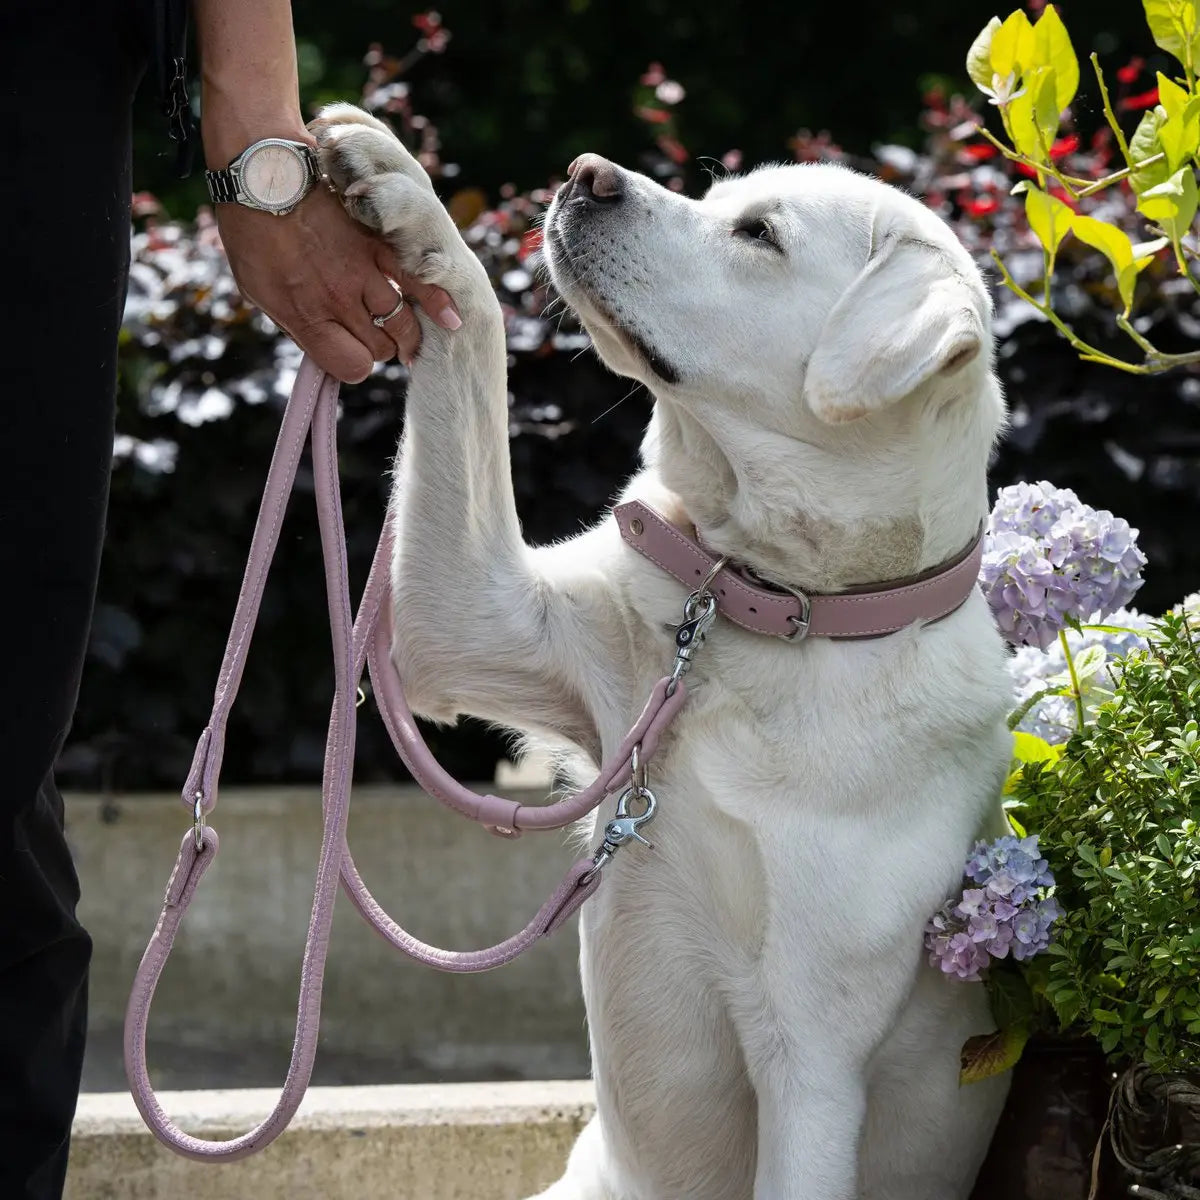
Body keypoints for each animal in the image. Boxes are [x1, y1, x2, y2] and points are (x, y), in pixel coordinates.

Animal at [309, 103, 1012, 1200]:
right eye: (718, 196)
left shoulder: (814, 1065)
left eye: (759, 234)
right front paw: (402, 195)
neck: (769, 609)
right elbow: (476, 340)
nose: (585, 173)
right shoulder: (471, 621)